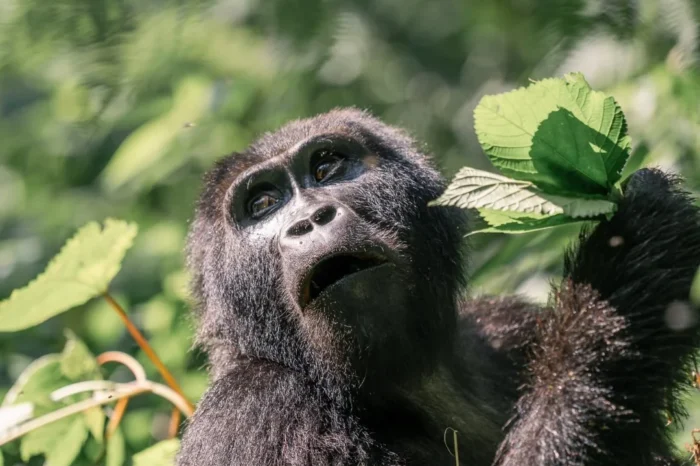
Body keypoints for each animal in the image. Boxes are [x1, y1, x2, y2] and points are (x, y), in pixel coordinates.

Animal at [177, 108, 700, 466]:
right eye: (263, 204)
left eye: (326, 168)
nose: (309, 220)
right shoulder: (254, 411)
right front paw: (620, 270)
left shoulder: (504, 326)